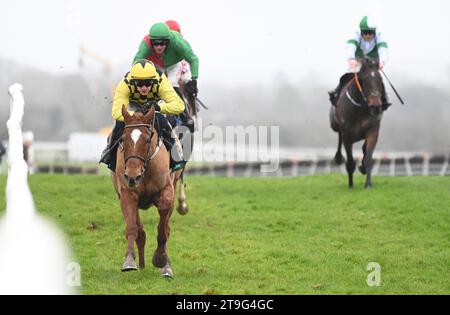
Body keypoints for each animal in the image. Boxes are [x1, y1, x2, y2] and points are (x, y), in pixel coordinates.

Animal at [111, 105, 176, 276]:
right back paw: (141, 263)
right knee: (140, 231)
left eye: (147, 140)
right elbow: (132, 228)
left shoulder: (167, 191)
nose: (133, 175)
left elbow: (163, 227)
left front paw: (160, 258)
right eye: (122, 139)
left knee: (166, 228)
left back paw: (166, 266)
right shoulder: (127, 193)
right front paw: (129, 260)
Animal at [328, 58, 384, 189]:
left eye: (380, 80)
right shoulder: (347, 135)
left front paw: (368, 183)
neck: (359, 109)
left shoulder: (373, 130)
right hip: (335, 126)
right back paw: (338, 157)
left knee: (364, 149)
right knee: (339, 137)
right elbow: (350, 162)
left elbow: (368, 158)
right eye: (365, 81)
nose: (376, 107)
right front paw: (351, 184)